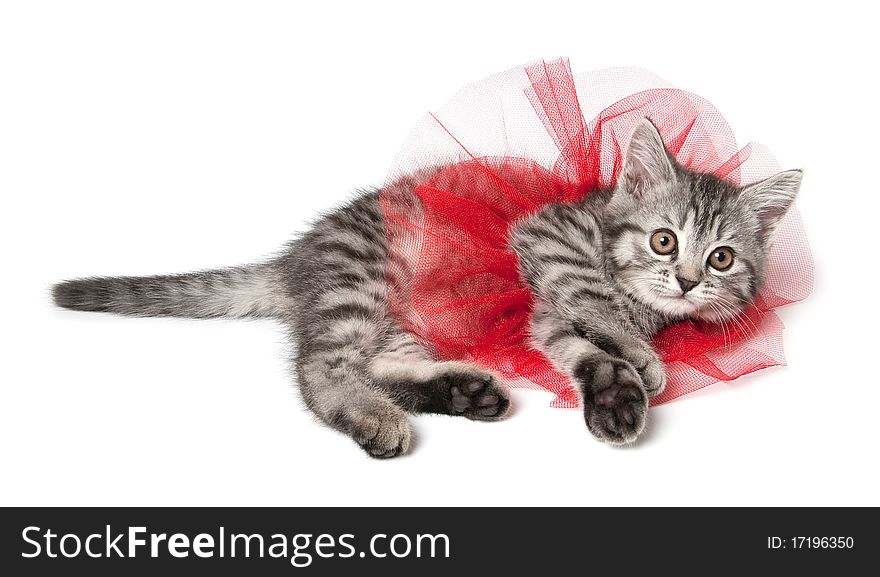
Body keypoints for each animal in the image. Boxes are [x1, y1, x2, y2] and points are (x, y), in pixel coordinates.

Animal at [51, 119, 800, 456]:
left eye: (723, 257)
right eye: (664, 240)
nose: (688, 280)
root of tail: (301, 258)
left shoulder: (542, 317)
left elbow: (580, 351)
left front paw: (615, 390)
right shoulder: (549, 241)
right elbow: (598, 303)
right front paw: (640, 359)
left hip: (402, 323)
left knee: (381, 367)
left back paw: (461, 391)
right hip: (360, 281)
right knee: (320, 370)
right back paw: (373, 416)